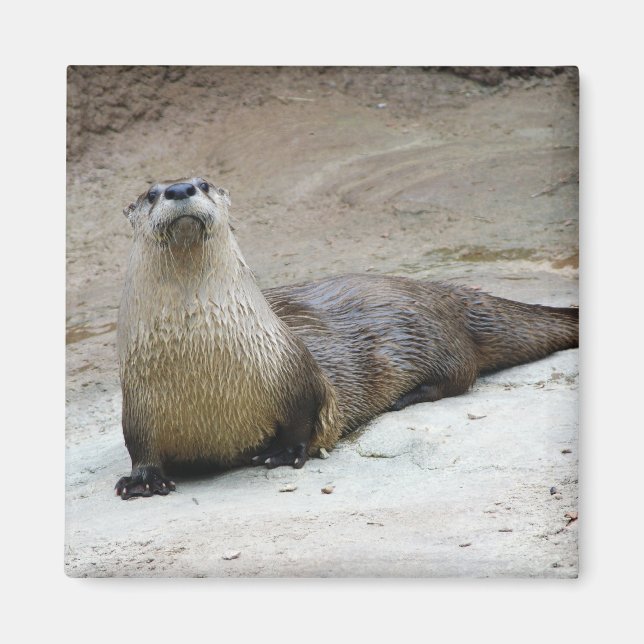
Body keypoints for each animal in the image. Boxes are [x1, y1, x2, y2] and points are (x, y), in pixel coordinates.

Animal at [115, 177, 578, 499]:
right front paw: (142, 481)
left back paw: (406, 397)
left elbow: (305, 417)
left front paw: (283, 453)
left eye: (204, 184)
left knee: (461, 375)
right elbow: (140, 445)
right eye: (151, 194)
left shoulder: (295, 373)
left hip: (434, 336)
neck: (204, 363)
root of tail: (438, 290)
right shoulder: (137, 402)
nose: (180, 188)